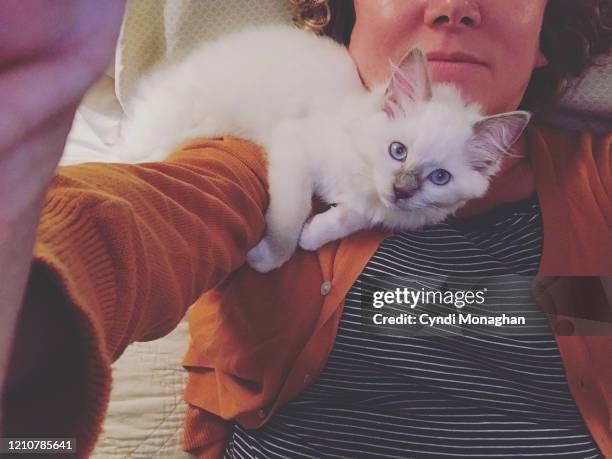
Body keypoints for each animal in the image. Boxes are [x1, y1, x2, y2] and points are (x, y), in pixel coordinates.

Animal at [116, 24, 532, 274]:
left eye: (439, 177)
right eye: (398, 151)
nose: (402, 191)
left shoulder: (377, 209)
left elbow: (348, 219)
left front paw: (314, 235)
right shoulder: (295, 149)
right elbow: (289, 219)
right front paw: (267, 257)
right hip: (177, 125)